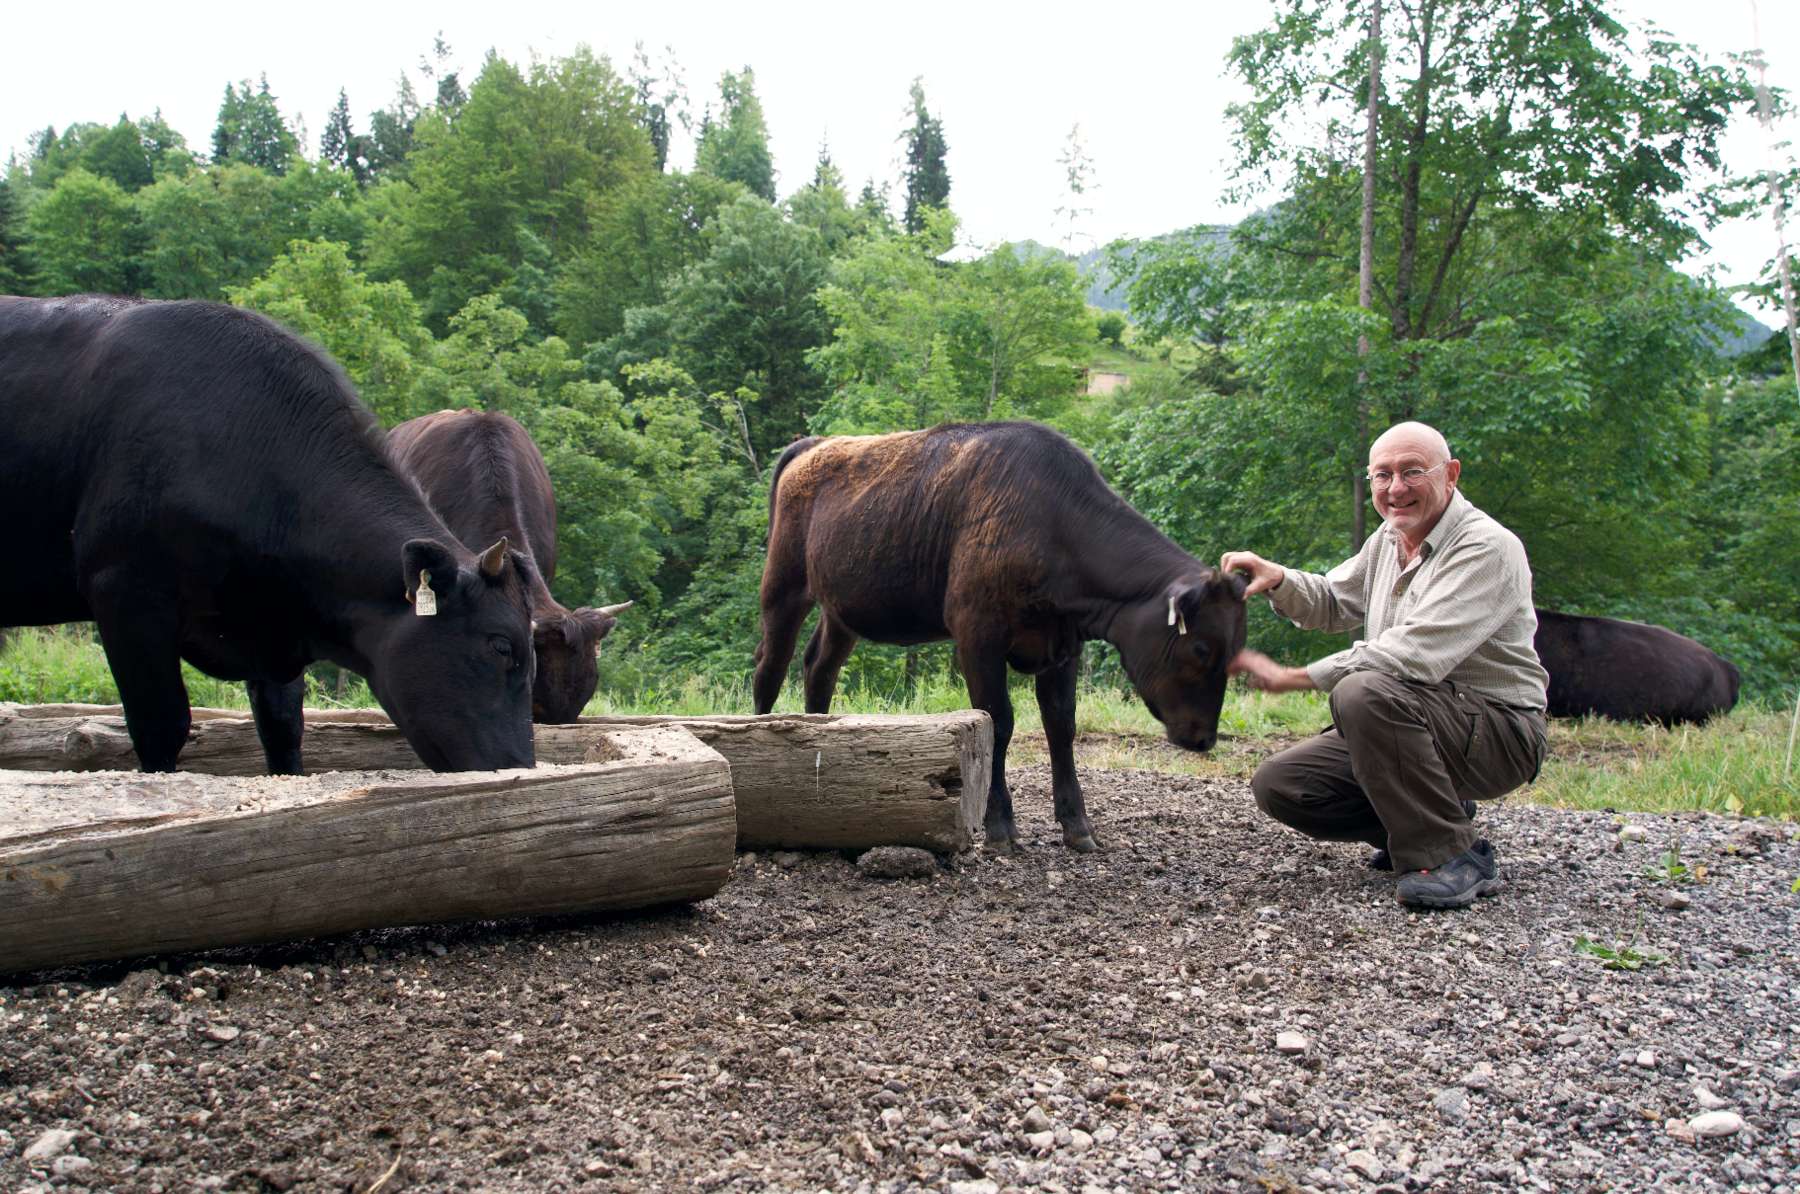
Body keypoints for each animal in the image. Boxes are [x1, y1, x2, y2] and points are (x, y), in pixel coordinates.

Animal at [0, 293, 532, 770]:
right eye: (501, 645)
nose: (518, 766)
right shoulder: (124, 591)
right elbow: (162, 727)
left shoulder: (276, 618)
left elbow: (284, 731)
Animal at [752, 419, 1245, 850]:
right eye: (1201, 646)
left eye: (1237, 650)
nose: (1204, 737)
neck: (1053, 523)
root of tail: (817, 443)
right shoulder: (978, 634)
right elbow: (997, 722)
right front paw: (1000, 827)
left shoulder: (1064, 647)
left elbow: (1061, 725)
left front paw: (1078, 826)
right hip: (784, 588)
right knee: (770, 667)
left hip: (841, 610)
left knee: (819, 666)